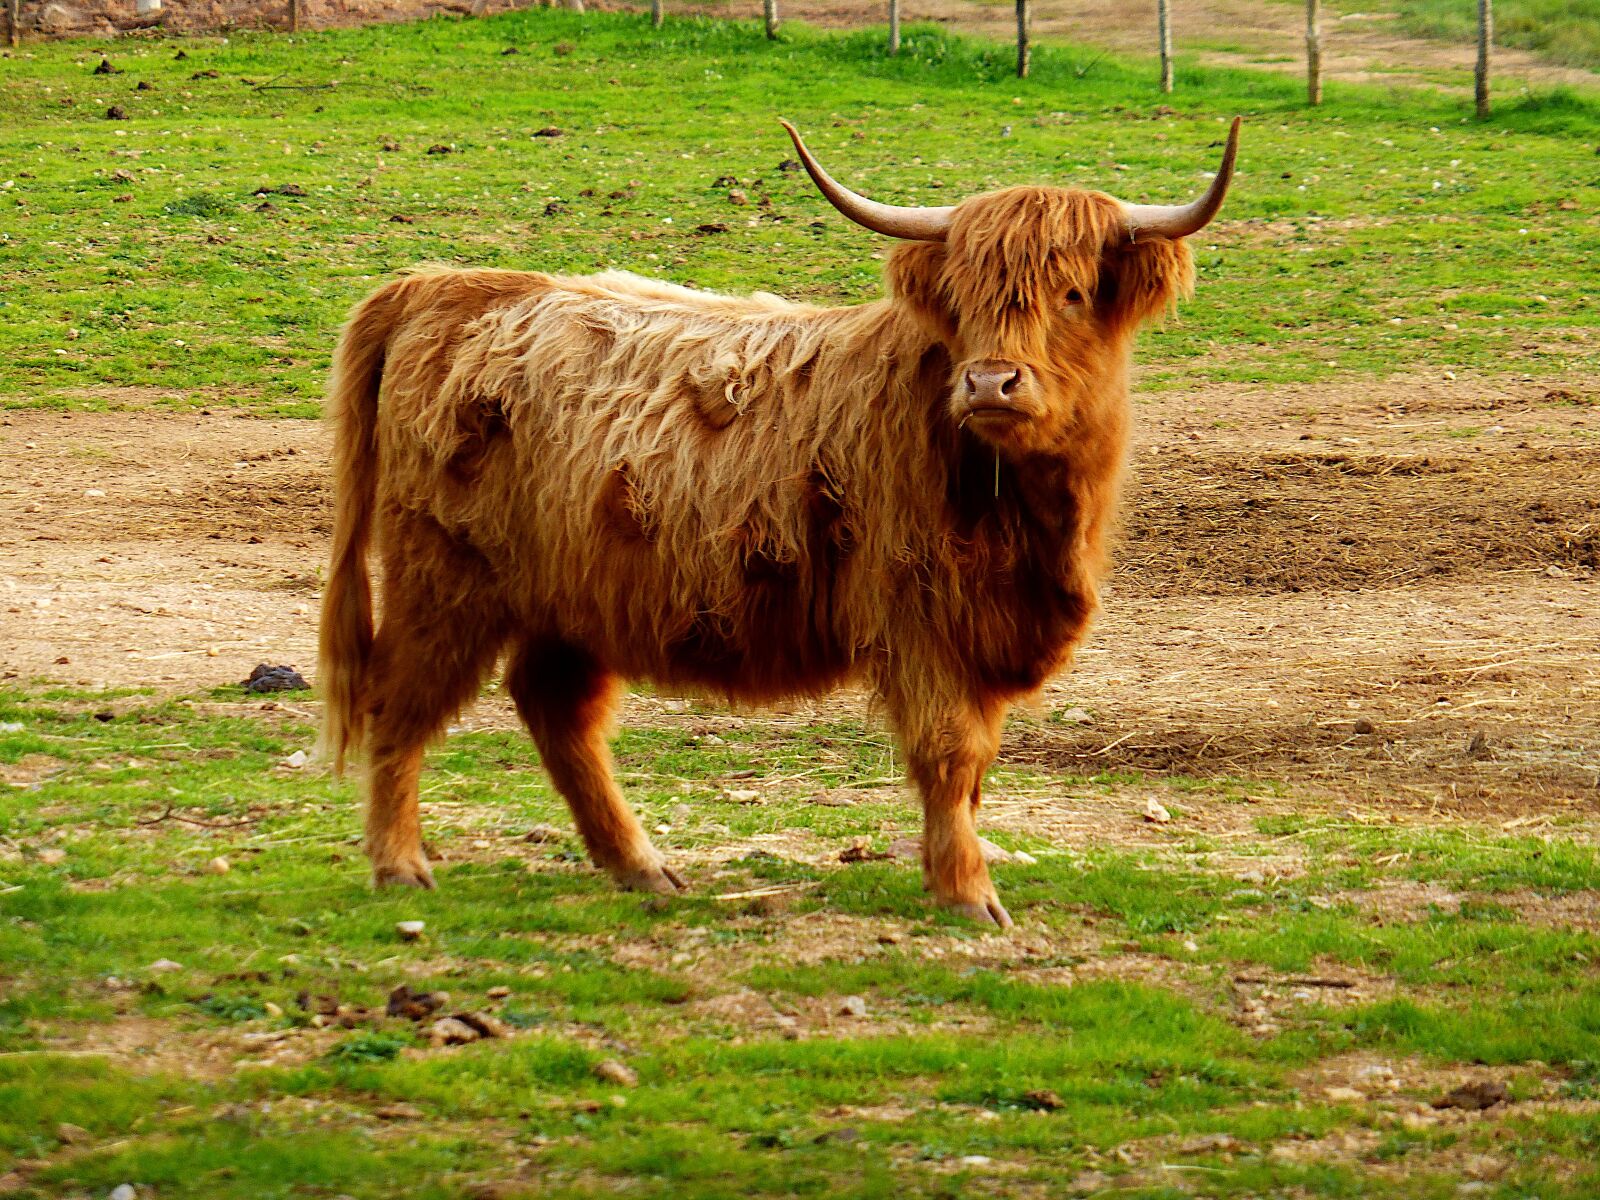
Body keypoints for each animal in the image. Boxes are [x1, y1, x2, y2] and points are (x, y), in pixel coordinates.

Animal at [312, 120, 1235, 928]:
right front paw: (967, 893)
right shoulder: (918, 613)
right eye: (964, 299)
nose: (989, 383)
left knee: (555, 707)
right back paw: (400, 865)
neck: (1022, 507)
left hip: (573, 594)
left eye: (1073, 294)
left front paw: (959, 870)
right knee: (401, 702)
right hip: (444, 578)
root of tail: (448, 285)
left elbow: (976, 763)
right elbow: (950, 753)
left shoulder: (988, 626)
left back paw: (641, 867)